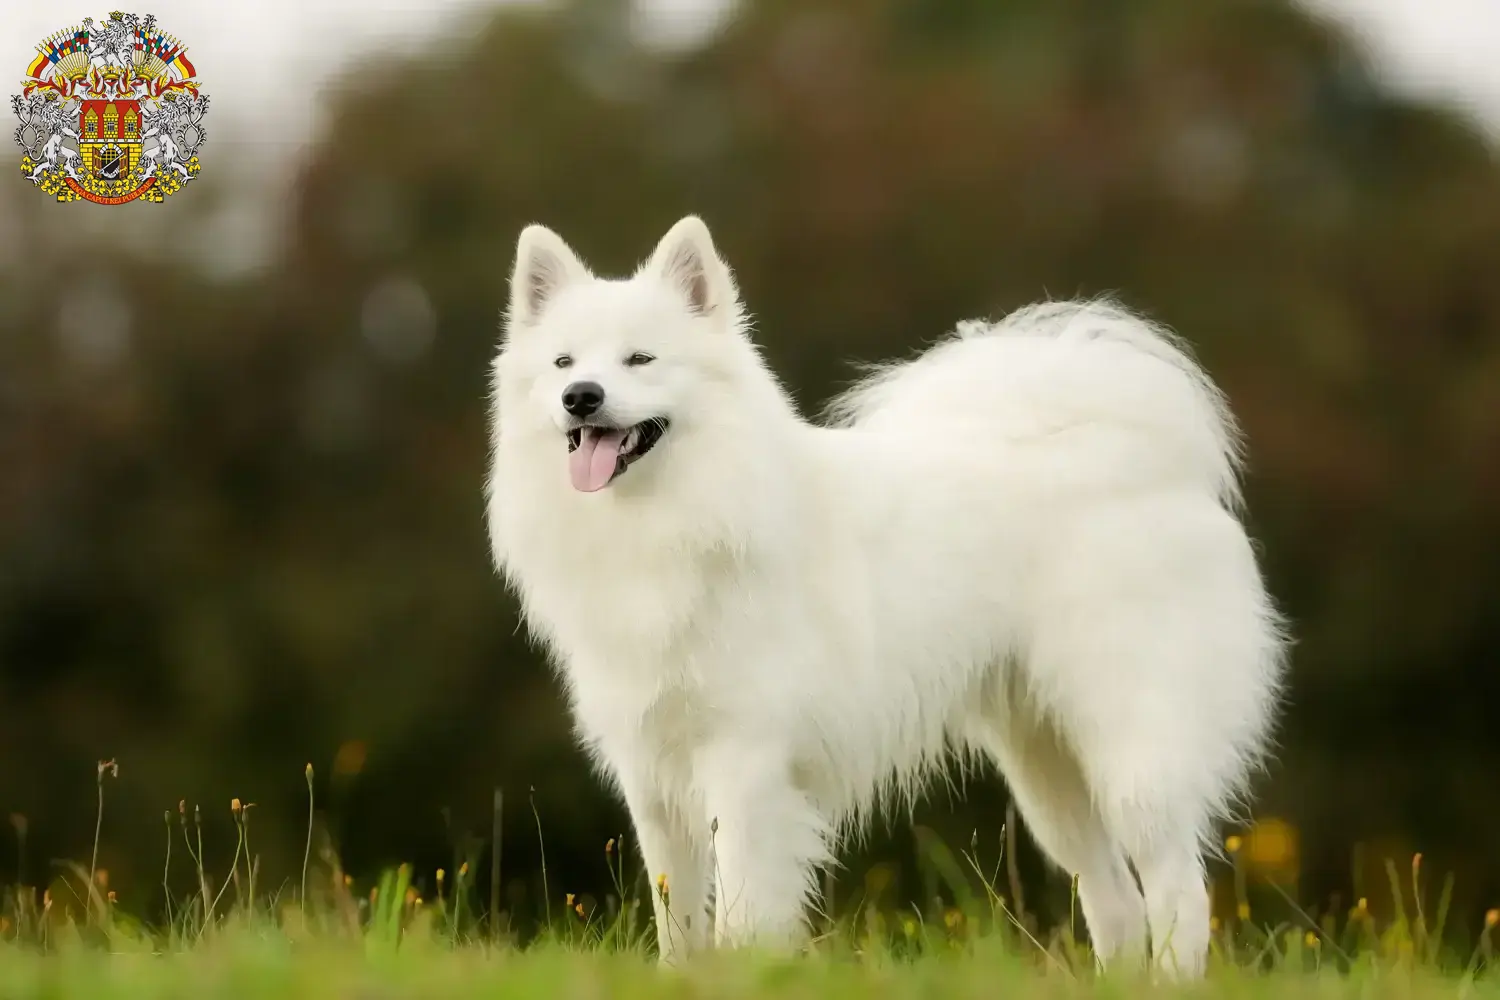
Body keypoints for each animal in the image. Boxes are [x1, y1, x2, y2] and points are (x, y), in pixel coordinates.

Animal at [486, 215, 1284, 971]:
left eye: (640, 360)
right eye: (562, 363)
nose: (580, 397)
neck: (673, 516)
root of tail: (1156, 466)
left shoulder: (745, 766)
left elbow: (741, 911)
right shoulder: (652, 772)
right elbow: (676, 917)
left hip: (1131, 750)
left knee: (1178, 890)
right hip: (1046, 769)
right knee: (1115, 899)